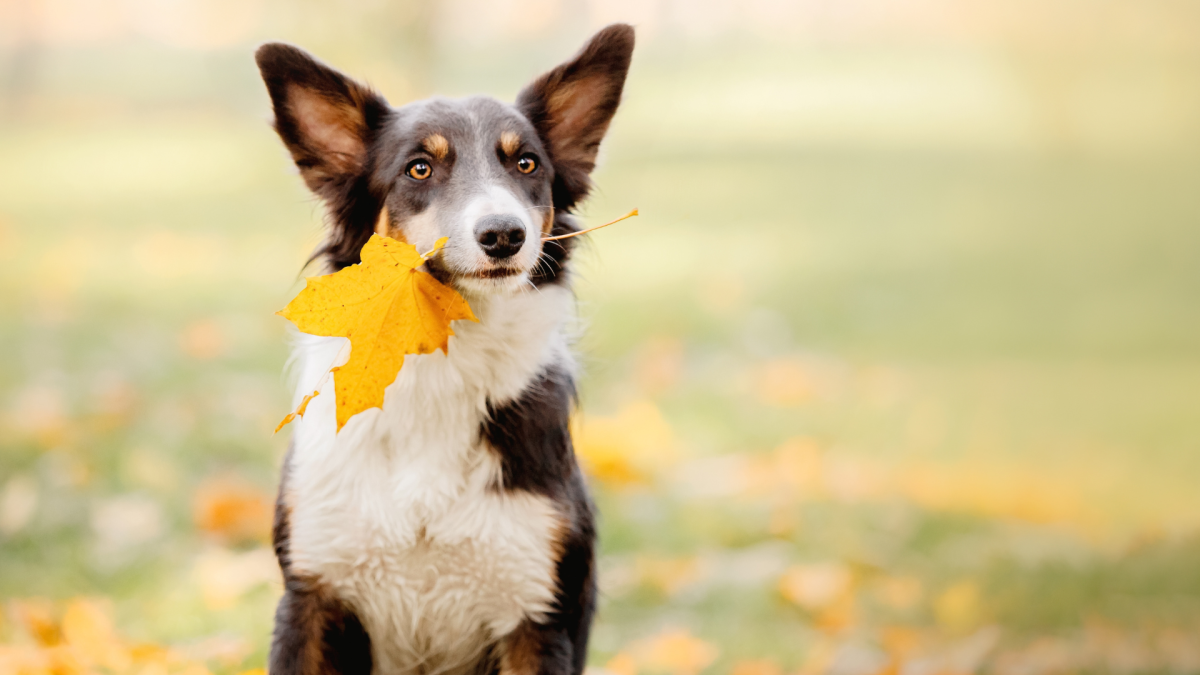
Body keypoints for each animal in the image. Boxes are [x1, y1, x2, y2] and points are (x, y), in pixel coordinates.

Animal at [254, 23, 638, 672]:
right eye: (419, 168)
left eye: (527, 163)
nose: (504, 234)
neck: (442, 357)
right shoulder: (310, 595)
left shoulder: (538, 613)